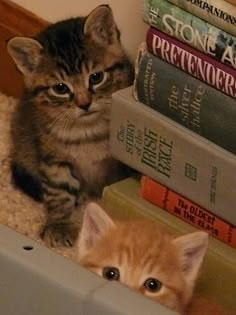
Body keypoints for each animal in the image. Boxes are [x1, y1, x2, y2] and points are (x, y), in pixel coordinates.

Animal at [6, 4, 134, 247]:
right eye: (60, 88)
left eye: (96, 77)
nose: (84, 104)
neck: (87, 132)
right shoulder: (53, 159)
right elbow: (58, 192)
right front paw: (60, 225)